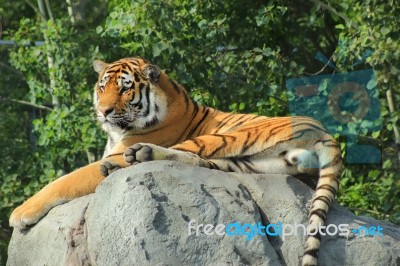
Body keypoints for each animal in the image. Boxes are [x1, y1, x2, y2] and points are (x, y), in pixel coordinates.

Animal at [9, 56, 340, 266]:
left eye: (125, 87)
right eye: (102, 86)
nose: (103, 111)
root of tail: (325, 131)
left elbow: (66, 179)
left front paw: (20, 213)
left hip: (231, 136)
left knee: (186, 152)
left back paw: (131, 158)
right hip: (251, 162)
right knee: (202, 162)